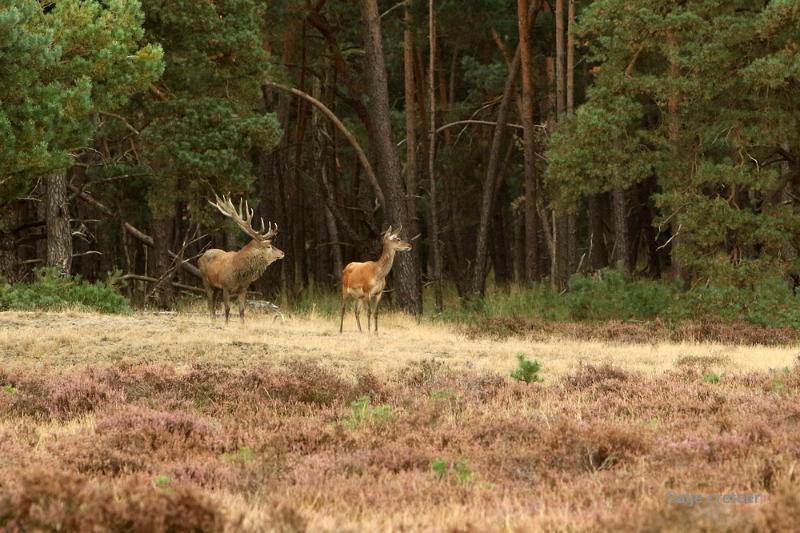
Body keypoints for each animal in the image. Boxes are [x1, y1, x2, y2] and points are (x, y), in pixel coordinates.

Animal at [198, 194, 282, 322]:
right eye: (268, 246)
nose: (282, 253)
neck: (240, 273)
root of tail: (201, 256)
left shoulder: (243, 289)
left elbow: (242, 310)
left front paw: (242, 324)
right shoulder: (226, 286)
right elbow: (227, 309)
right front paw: (226, 324)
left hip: (216, 286)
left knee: (213, 302)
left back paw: (215, 321)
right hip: (205, 280)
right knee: (210, 302)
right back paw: (213, 321)